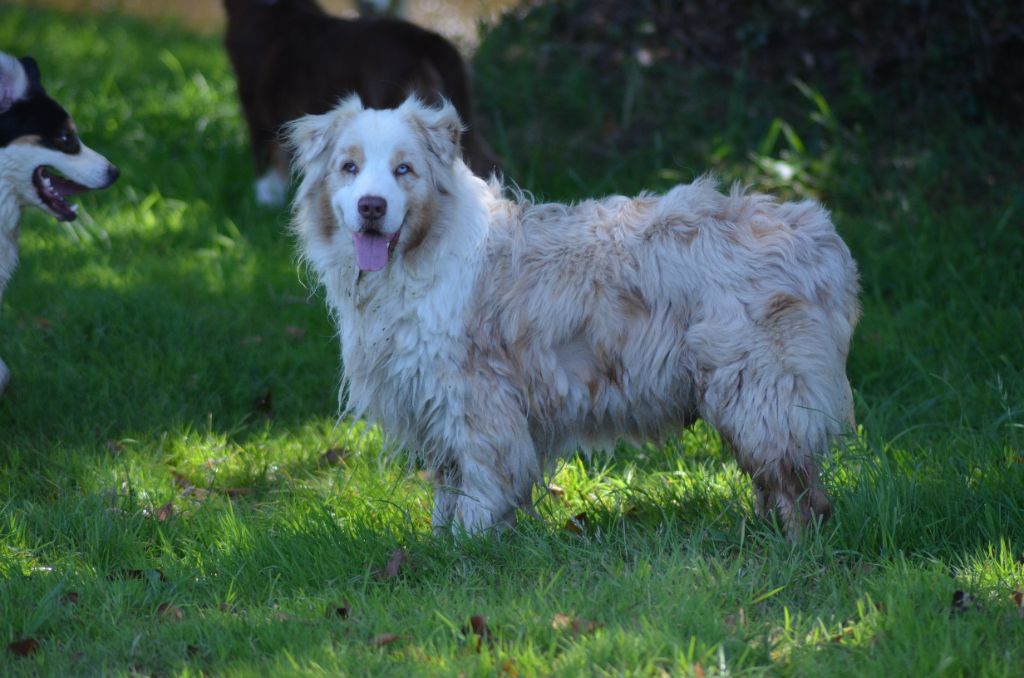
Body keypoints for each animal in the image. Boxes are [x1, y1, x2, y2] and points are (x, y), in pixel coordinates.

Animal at [284, 95, 860, 540]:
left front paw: (464, 553)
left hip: (763, 389)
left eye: (404, 169)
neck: (420, 257)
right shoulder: (432, 404)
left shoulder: (477, 401)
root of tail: (818, 233)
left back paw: (796, 548)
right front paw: (439, 544)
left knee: (799, 486)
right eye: (349, 167)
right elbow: (448, 493)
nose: (372, 206)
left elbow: (480, 491)